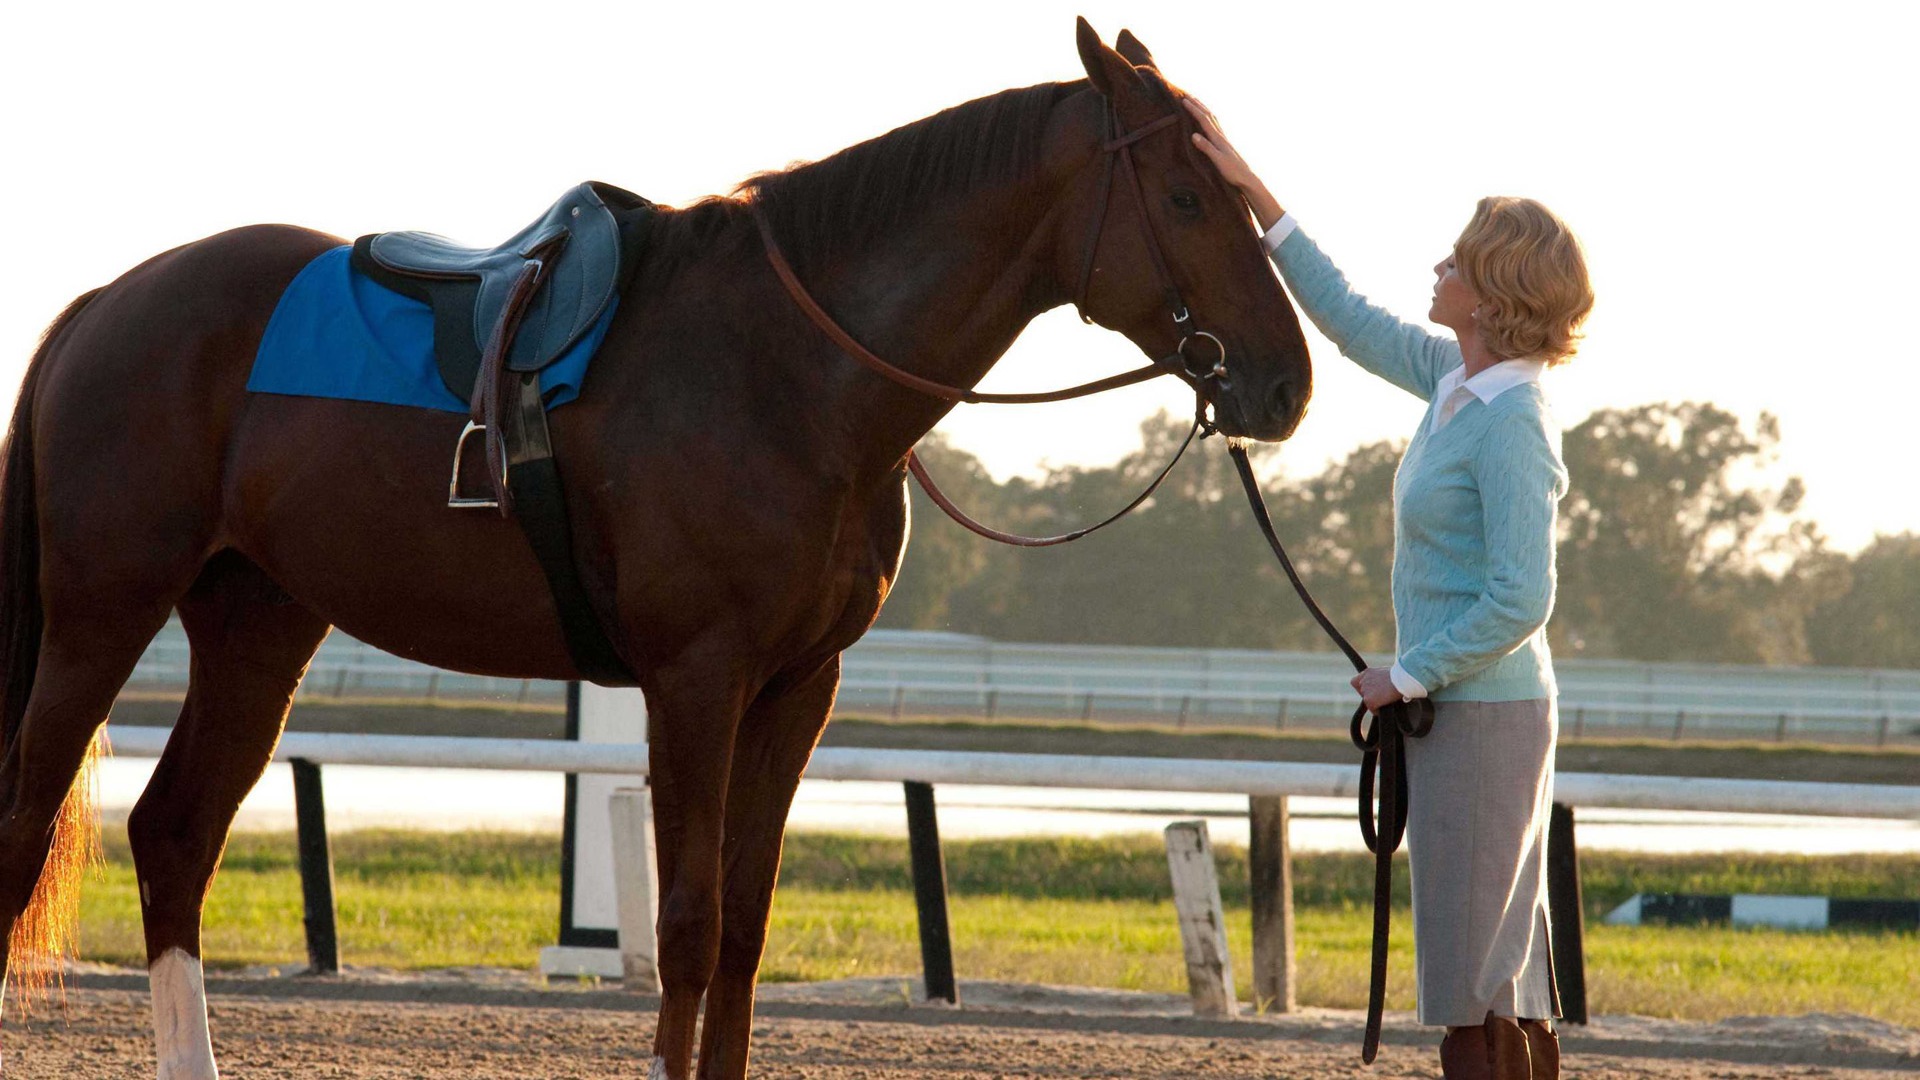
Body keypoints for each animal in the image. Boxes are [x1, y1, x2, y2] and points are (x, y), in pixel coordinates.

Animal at [0, 18, 1313, 1076]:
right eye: (1187, 198)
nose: (1286, 382)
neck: (792, 370)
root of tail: (110, 299)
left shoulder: (797, 687)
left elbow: (741, 929)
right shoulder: (698, 679)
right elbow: (685, 926)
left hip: (259, 622)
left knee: (175, 837)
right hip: (103, 615)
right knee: (27, 826)